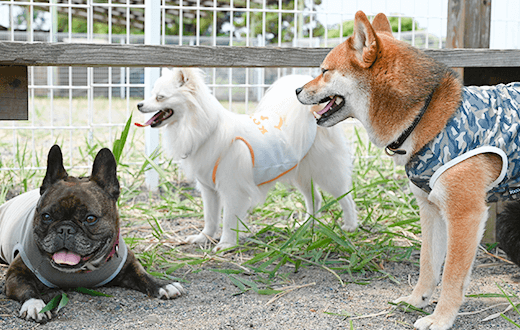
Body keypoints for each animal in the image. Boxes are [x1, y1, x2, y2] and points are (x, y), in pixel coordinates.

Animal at [135, 68, 358, 251]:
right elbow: (210, 218)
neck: (204, 130)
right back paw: (307, 226)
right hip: (301, 175)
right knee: (315, 199)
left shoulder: (233, 191)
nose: (138, 104)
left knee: (346, 198)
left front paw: (226, 244)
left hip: (327, 173)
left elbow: (228, 220)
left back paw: (350, 225)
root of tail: (314, 114)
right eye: (151, 95)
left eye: (160, 97)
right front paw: (203, 238)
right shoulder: (208, 189)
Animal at [296, 10, 520, 330]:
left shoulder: (464, 214)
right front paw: (417, 301)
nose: (296, 90)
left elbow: (451, 276)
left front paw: (441, 319)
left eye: (325, 71)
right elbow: (428, 264)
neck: (424, 115)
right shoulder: (431, 210)